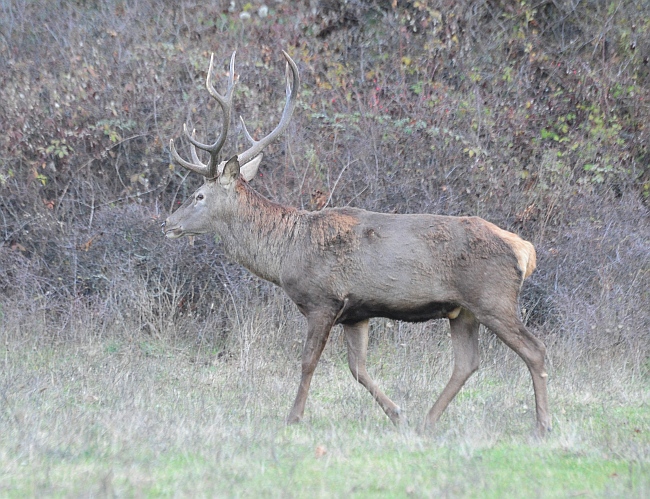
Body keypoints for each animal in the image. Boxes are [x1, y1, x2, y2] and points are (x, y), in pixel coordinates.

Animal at [159, 49, 548, 434]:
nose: (167, 223)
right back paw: (426, 421)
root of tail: (526, 251)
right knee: (467, 362)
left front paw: (293, 417)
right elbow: (357, 368)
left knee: (534, 349)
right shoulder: (356, 313)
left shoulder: (324, 300)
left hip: (492, 297)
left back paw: (542, 424)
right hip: (462, 310)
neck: (287, 251)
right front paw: (396, 413)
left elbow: (308, 362)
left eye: (198, 196)